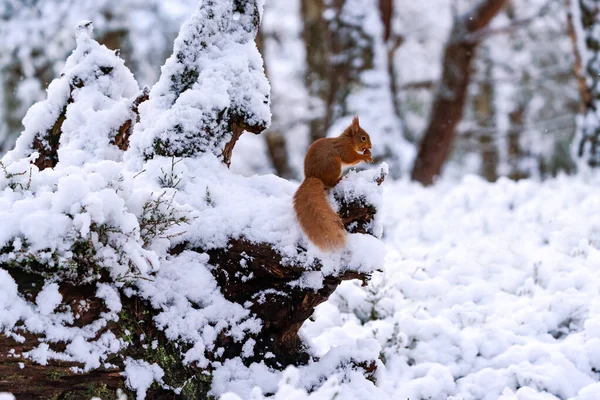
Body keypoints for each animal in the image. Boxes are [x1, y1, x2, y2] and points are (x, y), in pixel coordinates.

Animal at [294, 117, 372, 252]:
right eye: (363, 138)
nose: (371, 146)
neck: (349, 140)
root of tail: (312, 177)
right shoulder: (344, 149)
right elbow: (350, 158)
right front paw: (365, 156)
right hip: (334, 164)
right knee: (331, 182)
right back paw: (342, 178)